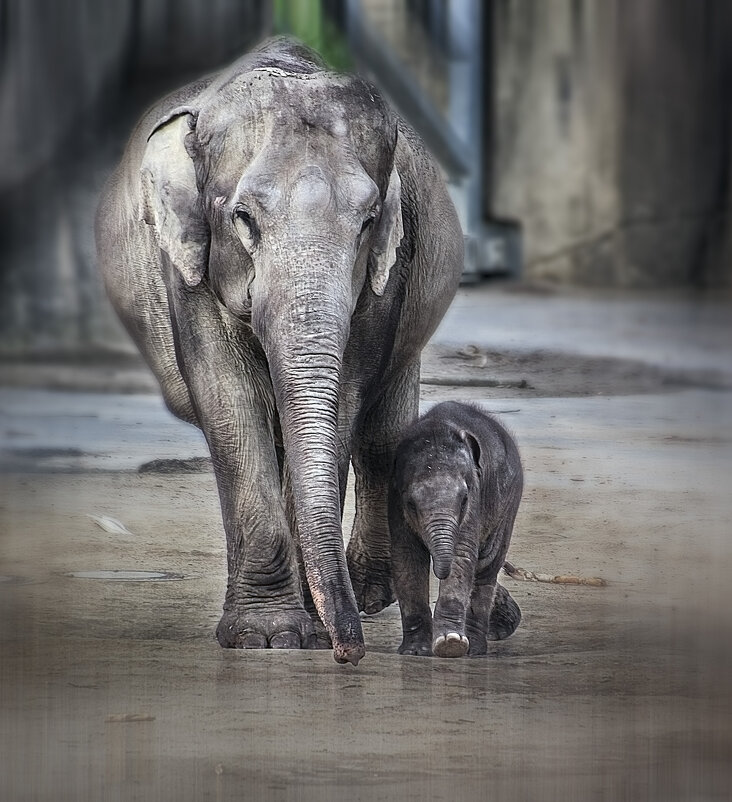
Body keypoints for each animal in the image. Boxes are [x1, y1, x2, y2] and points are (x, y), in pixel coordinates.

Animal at [94, 37, 464, 664]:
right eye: (243, 218)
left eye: (369, 222)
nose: (349, 654)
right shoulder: (186, 265)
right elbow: (228, 398)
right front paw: (268, 636)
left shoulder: (392, 265)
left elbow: (346, 396)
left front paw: (308, 627)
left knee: (382, 436)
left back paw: (368, 594)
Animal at [388, 400, 520, 656]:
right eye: (411, 504)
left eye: (464, 500)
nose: (440, 571)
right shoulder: (393, 496)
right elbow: (408, 557)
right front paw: (416, 651)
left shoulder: (475, 496)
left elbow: (462, 555)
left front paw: (450, 644)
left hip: (509, 503)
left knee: (487, 567)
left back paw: (475, 650)